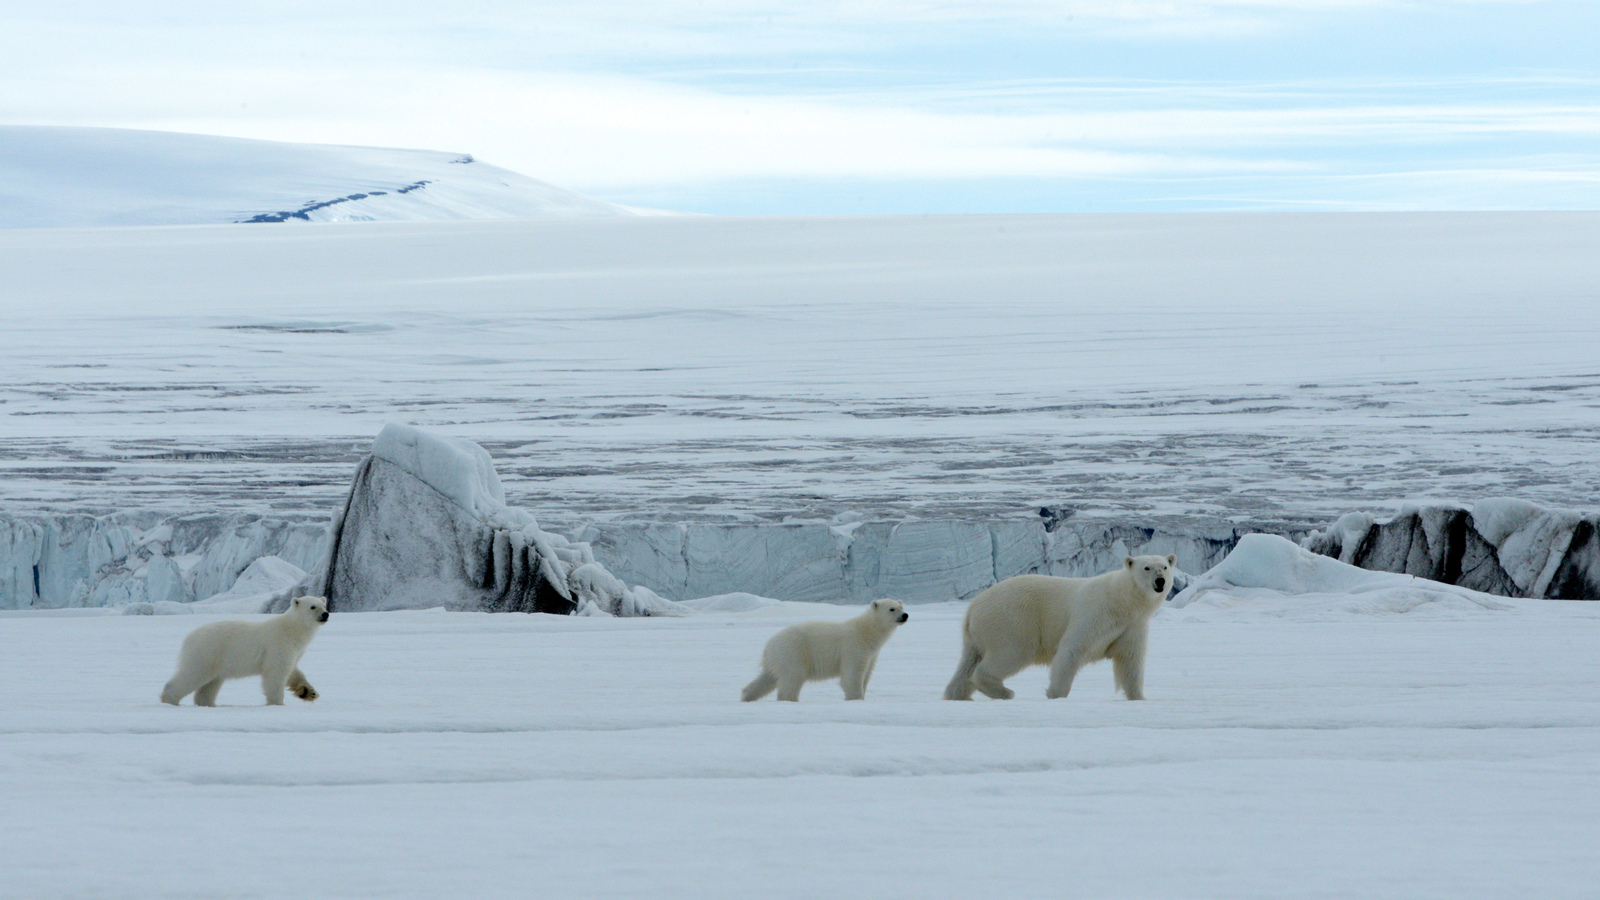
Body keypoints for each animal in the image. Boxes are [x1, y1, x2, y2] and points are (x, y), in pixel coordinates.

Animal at [160, 592, 329, 704]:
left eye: (324, 605)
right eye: (312, 607)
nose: (326, 614)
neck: (291, 630)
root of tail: (189, 637)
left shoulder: (294, 650)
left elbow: (293, 671)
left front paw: (309, 692)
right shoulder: (278, 645)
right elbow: (276, 673)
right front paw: (277, 703)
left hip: (217, 661)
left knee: (210, 685)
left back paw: (209, 704)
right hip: (207, 652)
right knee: (192, 675)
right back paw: (169, 699)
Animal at [739, 598, 908, 698]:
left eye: (901, 606)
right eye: (892, 609)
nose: (905, 615)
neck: (867, 632)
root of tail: (768, 646)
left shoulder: (872, 653)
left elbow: (866, 674)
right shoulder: (853, 646)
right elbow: (852, 675)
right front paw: (856, 698)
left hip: (779, 658)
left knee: (767, 679)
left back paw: (746, 696)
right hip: (793, 653)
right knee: (792, 679)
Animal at [934, 554, 1177, 701]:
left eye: (1165, 566)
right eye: (1147, 567)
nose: (1160, 581)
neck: (1121, 601)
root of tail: (973, 606)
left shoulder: (1132, 625)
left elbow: (1130, 661)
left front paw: (1140, 698)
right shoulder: (1094, 614)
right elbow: (1071, 650)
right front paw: (1056, 694)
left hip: (976, 636)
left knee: (967, 664)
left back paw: (958, 695)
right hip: (1012, 620)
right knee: (1012, 653)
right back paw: (1004, 691)